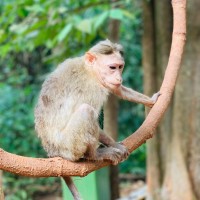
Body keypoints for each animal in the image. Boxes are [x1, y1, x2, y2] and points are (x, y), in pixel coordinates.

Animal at [34, 39, 159, 200]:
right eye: (112, 67)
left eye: (120, 67)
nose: (119, 77)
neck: (90, 70)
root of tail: (52, 151)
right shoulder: (92, 89)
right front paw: (114, 145)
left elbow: (118, 89)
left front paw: (151, 100)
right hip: (68, 147)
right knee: (86, 111)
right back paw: (94, 155)